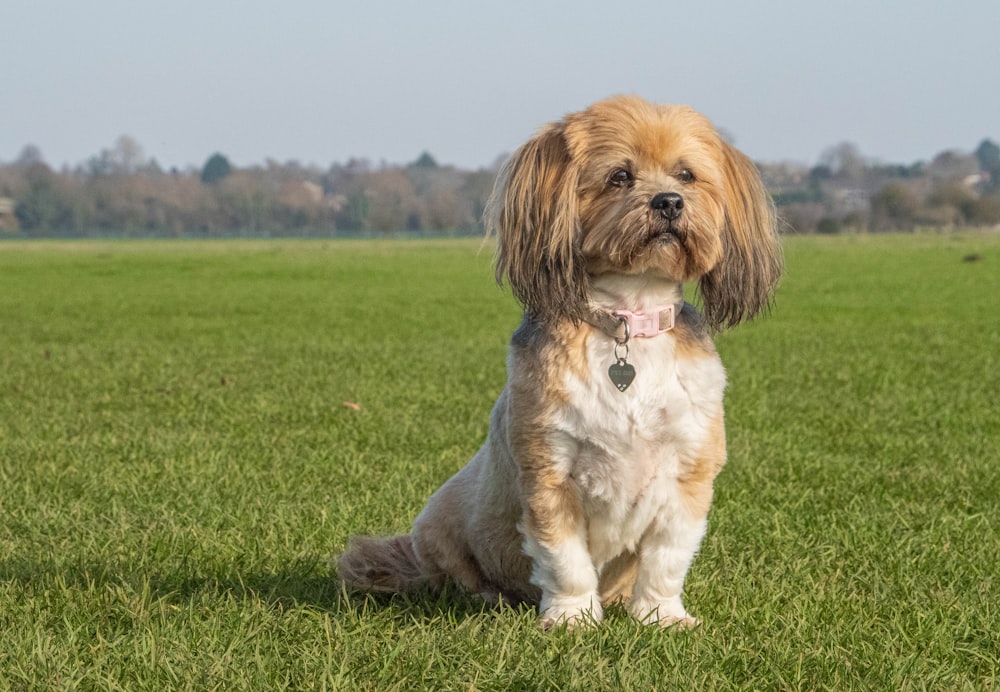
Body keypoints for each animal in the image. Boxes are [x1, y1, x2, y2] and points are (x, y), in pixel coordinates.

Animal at [340, 93, 784, 628]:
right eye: (620, 176)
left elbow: (666, 558)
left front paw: (661, 616)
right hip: (437, 524)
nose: (669, 202)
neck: (627, 321)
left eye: (686, 175)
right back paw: (487, 598)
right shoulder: (549, 471)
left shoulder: (689, 473)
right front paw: (573, 618)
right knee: (456, 576)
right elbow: (564, 557)